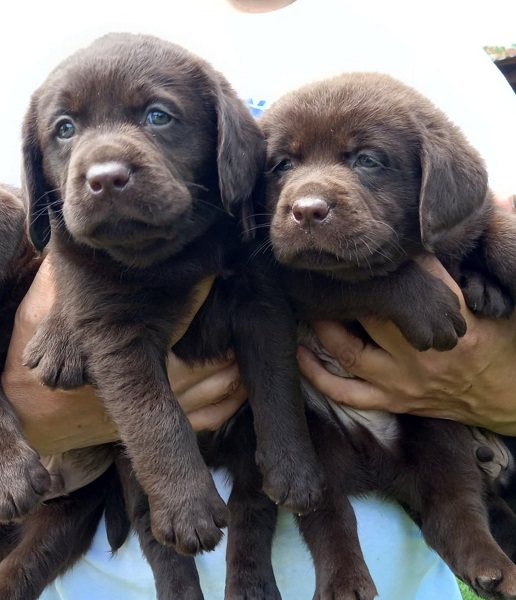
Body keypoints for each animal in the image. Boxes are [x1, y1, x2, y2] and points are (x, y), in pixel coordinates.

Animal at [244, 74, 516, 600]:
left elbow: (499, 232)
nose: (306, 210)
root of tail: (377, 465)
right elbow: (364, 275)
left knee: (454, 504)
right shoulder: (287, 270)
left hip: (437, 429)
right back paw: (345, 583)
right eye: (282, 165)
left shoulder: (468, 216)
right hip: (319, 443)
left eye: (367, 160)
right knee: (331, 516)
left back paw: (490, 566)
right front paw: (430, 306)